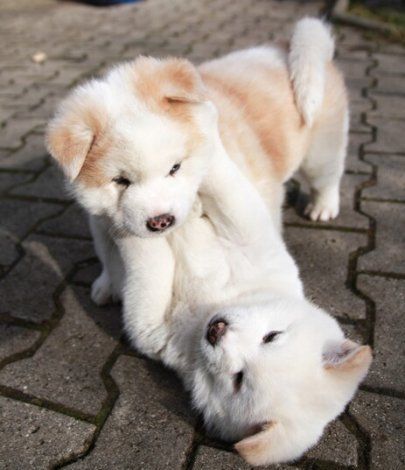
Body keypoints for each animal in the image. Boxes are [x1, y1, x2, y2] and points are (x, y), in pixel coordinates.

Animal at [45, 16, 370, 464]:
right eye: (120, 180)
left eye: (175, 168)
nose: (161, 221)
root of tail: (288, 47)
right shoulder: (97, 216)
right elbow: (107, 250)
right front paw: (107, 284)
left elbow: (143, 251)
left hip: (321, 151)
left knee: (327, 178)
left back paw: (322, 207)